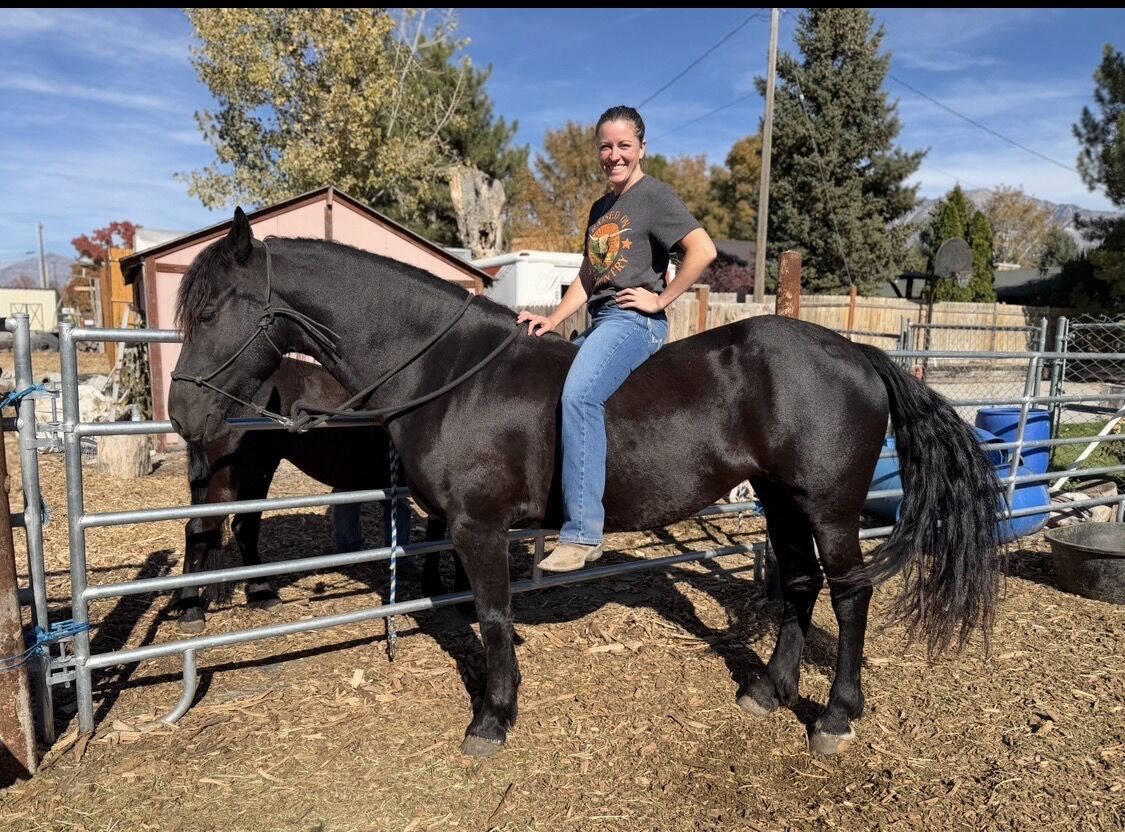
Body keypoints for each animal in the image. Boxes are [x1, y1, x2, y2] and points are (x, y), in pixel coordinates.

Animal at [175, 355, 465, 633]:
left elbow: (438, 537)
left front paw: (437, 587)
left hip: (259, 473)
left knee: (244, 528)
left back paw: (262, 594)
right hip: (231, 480)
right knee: (199, 529)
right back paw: (191, 609)